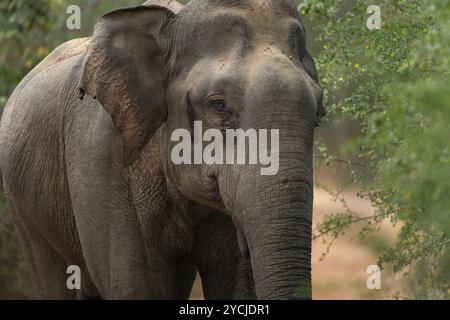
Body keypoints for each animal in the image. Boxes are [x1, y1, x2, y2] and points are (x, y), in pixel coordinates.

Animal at [0, 0, 324, 300]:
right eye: (218, 106)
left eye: (320, 113)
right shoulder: (99, 156)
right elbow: (136, 287)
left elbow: (237, 287)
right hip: (22, 209)